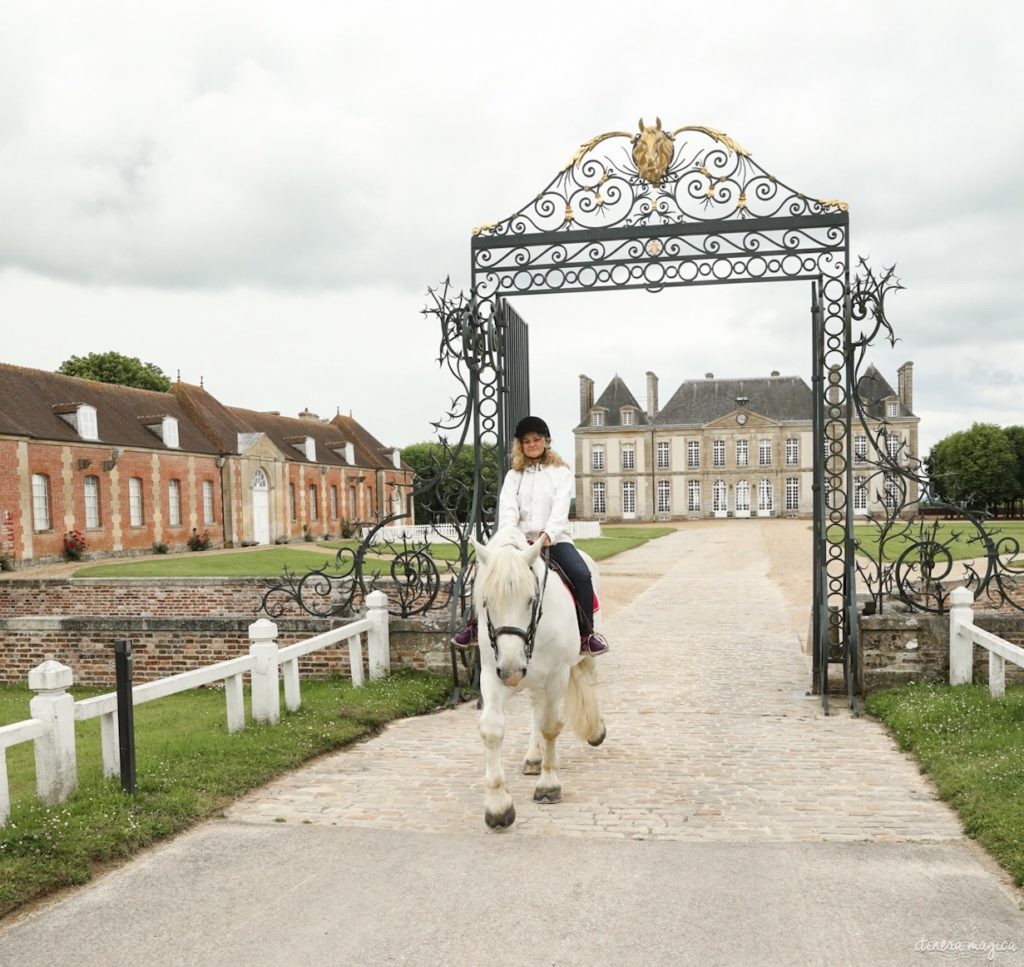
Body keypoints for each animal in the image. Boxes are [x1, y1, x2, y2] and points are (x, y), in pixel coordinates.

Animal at [473, 524, 606, 827]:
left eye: (530, 599)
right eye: (486, 601)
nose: (511, 670)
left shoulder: (557, 675)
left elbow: (549, 726)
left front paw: (548, 786)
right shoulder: (492, 675)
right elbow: (492, 729)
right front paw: (498, 806)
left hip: (580, 659)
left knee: (587, 685)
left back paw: (596, 730)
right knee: (536, 706)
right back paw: (533, 758)